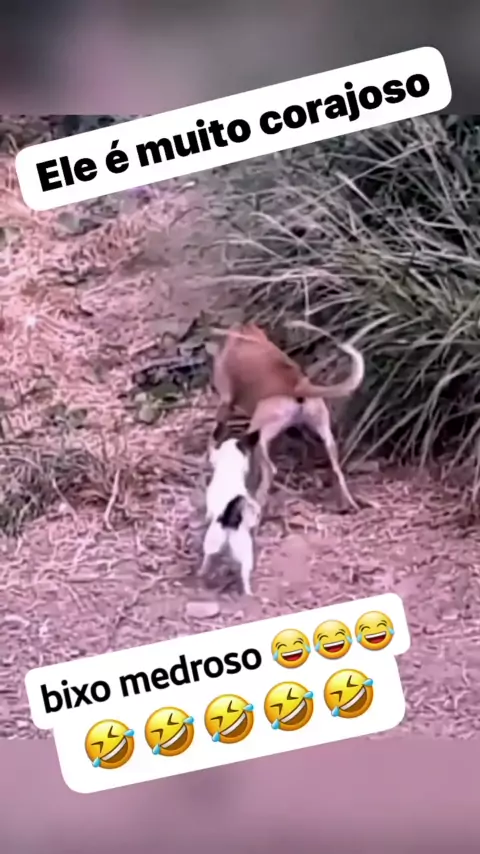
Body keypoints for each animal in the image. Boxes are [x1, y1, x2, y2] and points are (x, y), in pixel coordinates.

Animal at [199, 429, 262, 596]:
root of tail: (230, 520)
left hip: (211, 543)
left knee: (207, 559)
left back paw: (203, 572)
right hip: (246, 555)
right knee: (244, 575)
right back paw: (248, 592)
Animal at [210, 323, 365, 511]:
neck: (246, 335)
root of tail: (297, 386)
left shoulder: (225, 402)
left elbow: (216, 432)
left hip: (260, 433)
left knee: (270, 470)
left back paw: (258, 500)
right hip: (325, 435)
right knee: (337, 470)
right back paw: (349, 502)